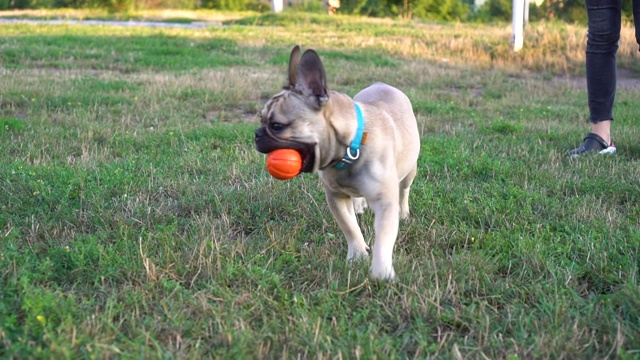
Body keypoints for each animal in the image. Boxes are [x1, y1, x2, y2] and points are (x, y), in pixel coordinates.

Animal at [255, 45, 420, 282]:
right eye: (260, 119)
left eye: (277, 125)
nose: (256, 135)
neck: (350, 149)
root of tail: (382, 84)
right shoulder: (336, 197)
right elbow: (349, 226)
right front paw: (358, 255)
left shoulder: (384, 202)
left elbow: (384, 237)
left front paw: (381, 272)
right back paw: (359, 206)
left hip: (409, 171)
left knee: (404, 191)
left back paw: (403, 212)